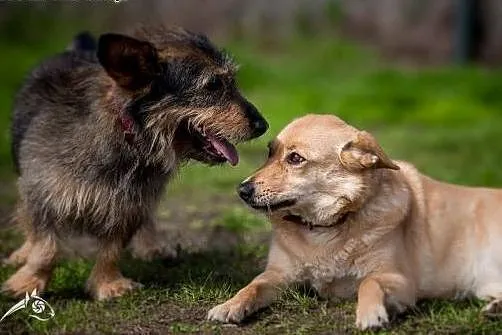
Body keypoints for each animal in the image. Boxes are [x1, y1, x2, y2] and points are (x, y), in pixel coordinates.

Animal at [3, 25, 268, 300]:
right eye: (213, 85)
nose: (263, 125)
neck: (129, 136)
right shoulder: (42, 193)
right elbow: (45, 246)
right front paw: (28, 282)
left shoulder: (131, 205)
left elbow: (112, 249)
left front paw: (107, 283)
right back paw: (22, 253)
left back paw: (151, 247)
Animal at [206, 114, 502, 330]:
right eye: (270, 153)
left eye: (296, 158)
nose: (242, 190)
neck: (324, 230)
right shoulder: (279, 275)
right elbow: (253, 286)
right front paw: (229, 305)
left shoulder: (400, 280)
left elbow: (368, 283)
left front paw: (371, 313)